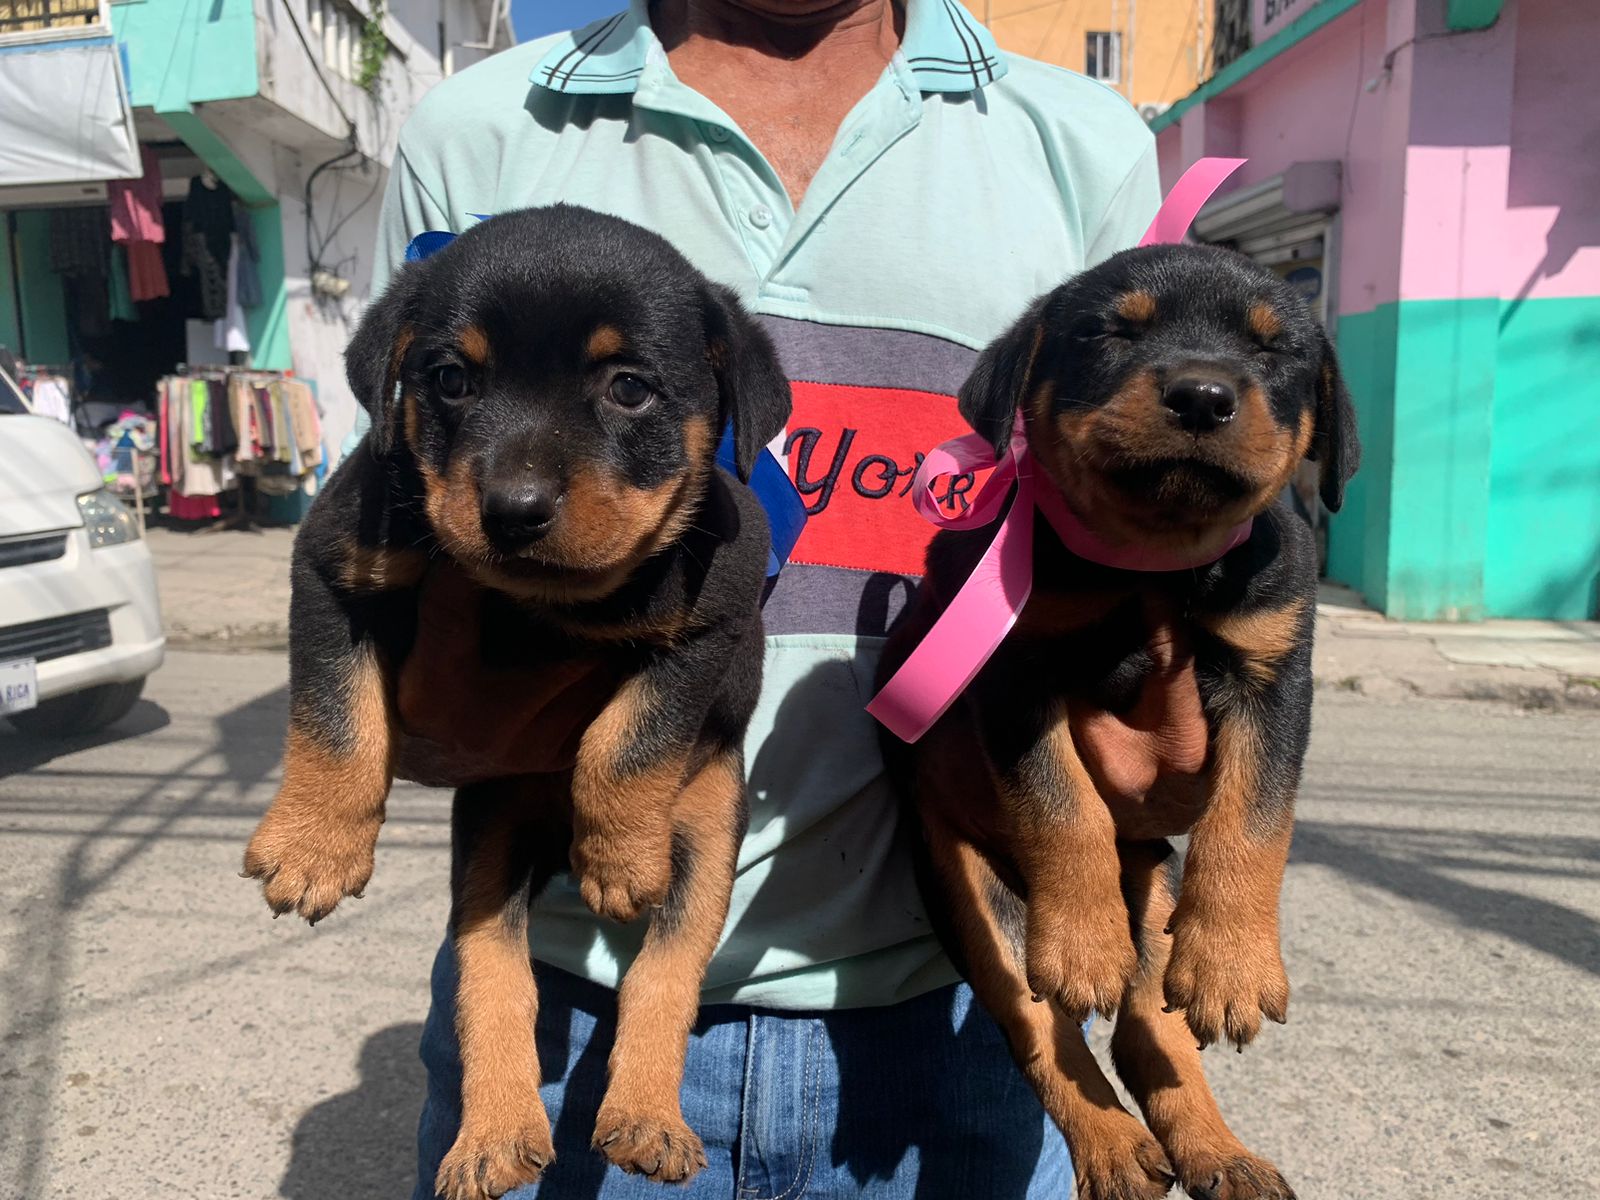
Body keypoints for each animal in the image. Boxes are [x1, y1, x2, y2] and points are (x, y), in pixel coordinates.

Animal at [241, 206, 787, 1200]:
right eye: (451, 380)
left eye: (629, 389)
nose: (514, 508)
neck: (549, 605)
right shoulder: (334, 565)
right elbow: (335, 716)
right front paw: (315, 847)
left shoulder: (717, 619)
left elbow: (631, 735)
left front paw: (619, 852)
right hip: (491, 840)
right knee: (495, 977)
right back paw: (495, 1137)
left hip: (709, 826)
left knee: (666, 971)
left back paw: (646, 1118)